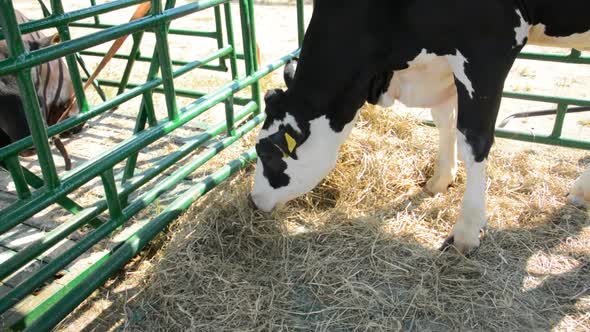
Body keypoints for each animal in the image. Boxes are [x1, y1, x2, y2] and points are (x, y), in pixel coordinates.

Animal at [250, 0, 590, 252]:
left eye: (266, 152)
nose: (253, 201)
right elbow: (445, 121)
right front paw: (441, 180)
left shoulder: (487, 49)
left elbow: (474, 138)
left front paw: (467, 231)